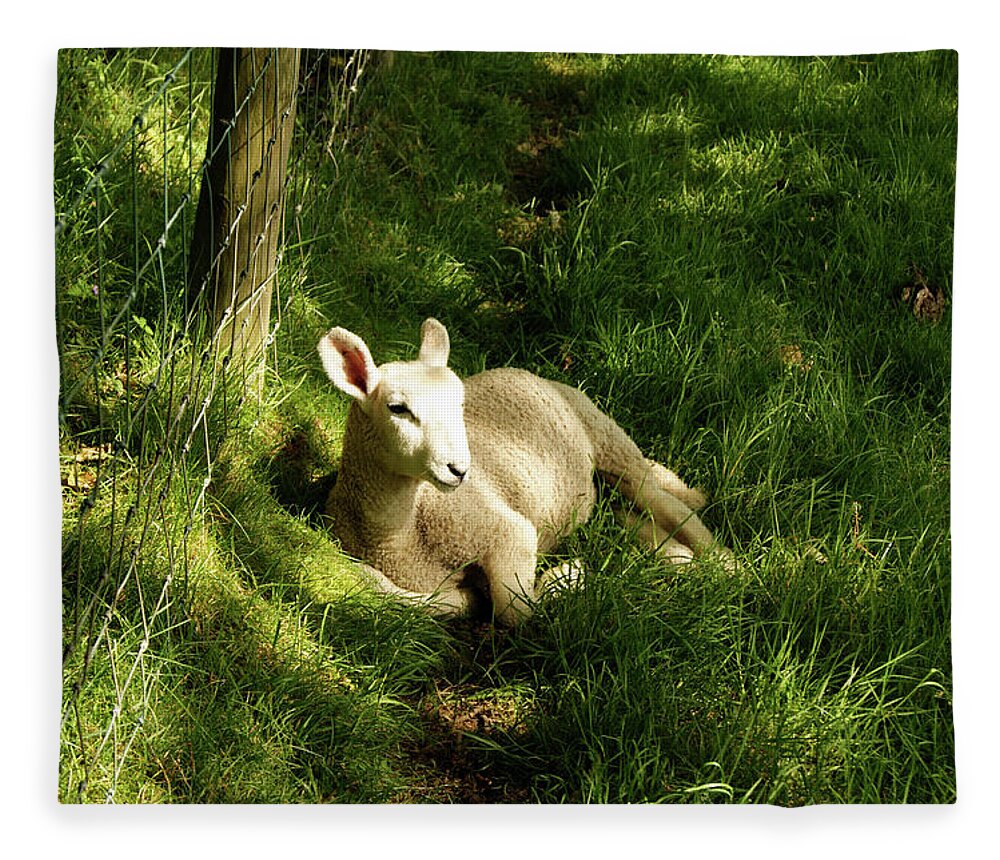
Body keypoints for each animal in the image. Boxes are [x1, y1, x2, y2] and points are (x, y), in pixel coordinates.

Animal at [318, 318, 728, 624]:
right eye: (397, 408)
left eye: (460, 403)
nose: (459, 470)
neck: (400, 533)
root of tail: (534, 374)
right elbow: (407, 596)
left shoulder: (508, 530)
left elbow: (515, 610)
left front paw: (568, 574)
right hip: (591, 487)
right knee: (621, 516)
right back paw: (674, 556)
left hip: (607, 439)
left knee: (669, 504)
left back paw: (725, 565)